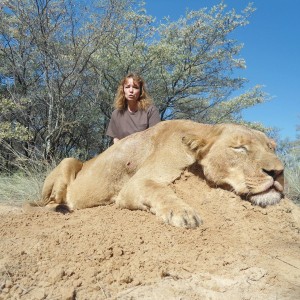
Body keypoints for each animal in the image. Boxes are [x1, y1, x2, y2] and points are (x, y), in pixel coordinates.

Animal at [31, 119, 284, 227]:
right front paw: (183, 213)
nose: (278, 172)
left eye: (271, 148)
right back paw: (62, 208)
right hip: (67, 162)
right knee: (47, 203)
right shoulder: (134, 185)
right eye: (239, 148)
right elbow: (158, 189)